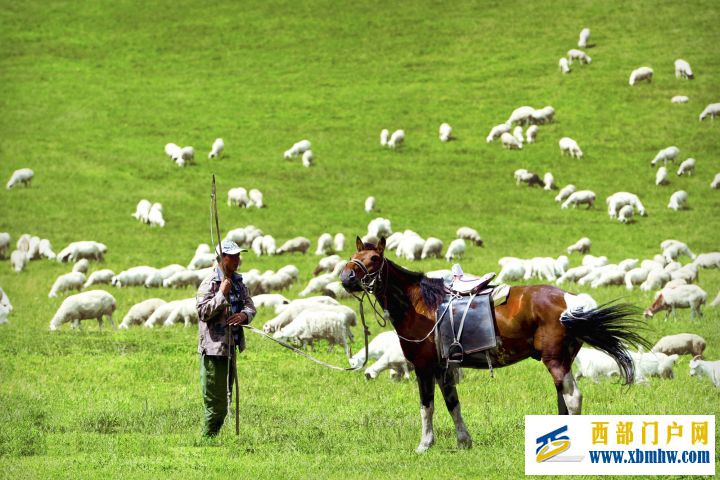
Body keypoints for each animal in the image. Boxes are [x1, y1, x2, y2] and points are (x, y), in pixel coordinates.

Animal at [340, 238, 648, 452]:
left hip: (555, 360)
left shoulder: (424, 367)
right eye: (353, 258)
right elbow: (452, 403)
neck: (420, 304)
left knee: (573, 398)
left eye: (374, 258)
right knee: (563, 398)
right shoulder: (442, 367)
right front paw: (464, 440)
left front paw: (425, 444)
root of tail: (569, 300)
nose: (347, 278)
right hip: (564, 360)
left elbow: (427, 406)